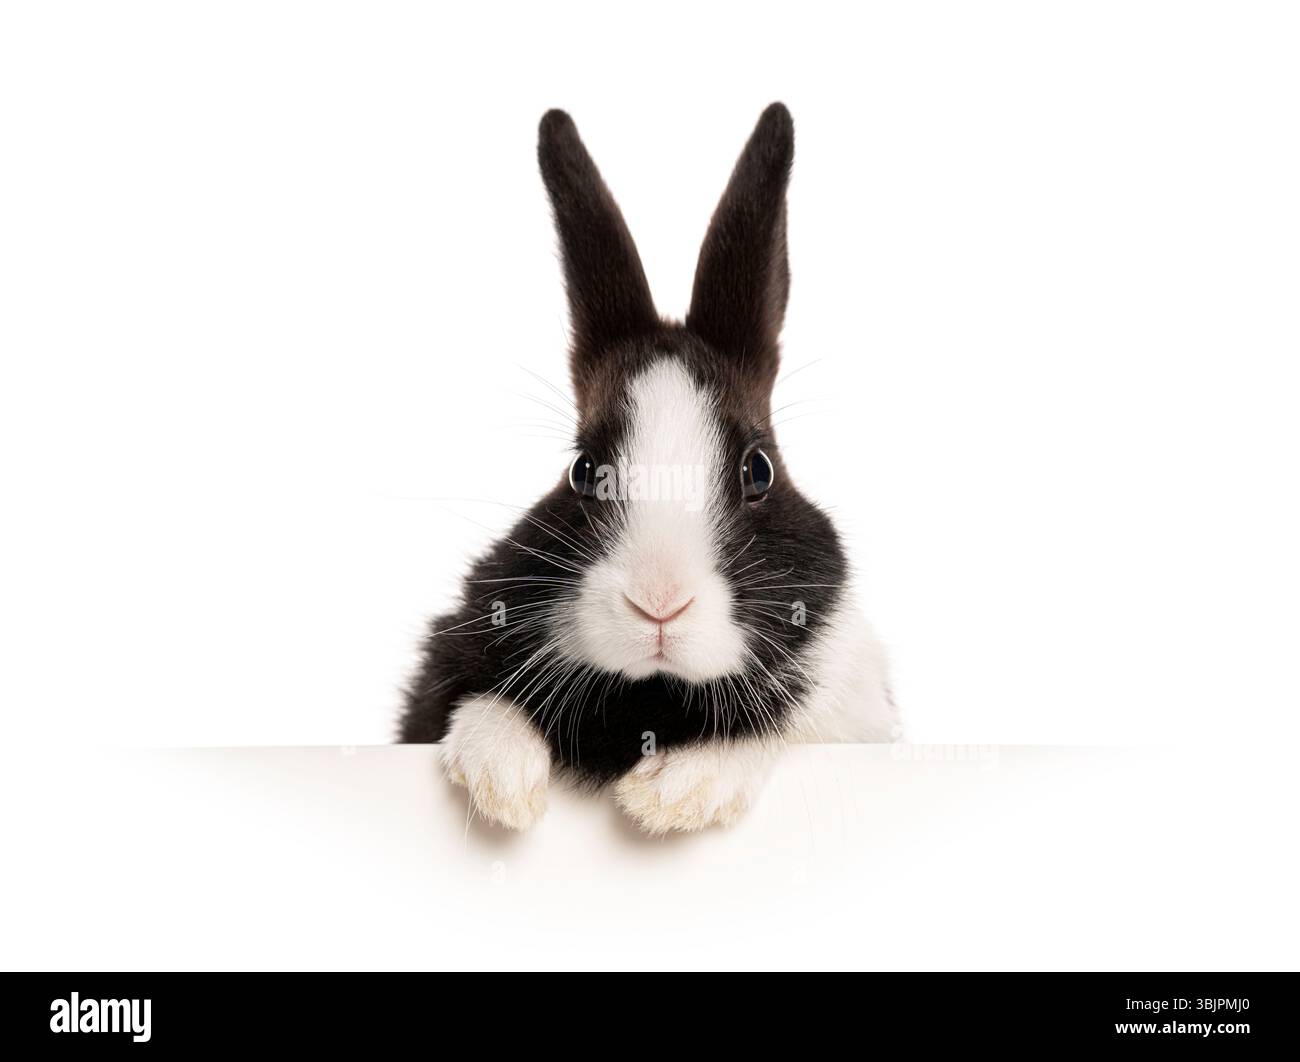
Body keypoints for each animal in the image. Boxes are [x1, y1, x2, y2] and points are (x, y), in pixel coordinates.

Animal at [399, 103, 897, 834]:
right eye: (583, 471)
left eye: (758, 471)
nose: (660, 603)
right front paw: (505, 780)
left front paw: (673, 792)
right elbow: (480, 706)